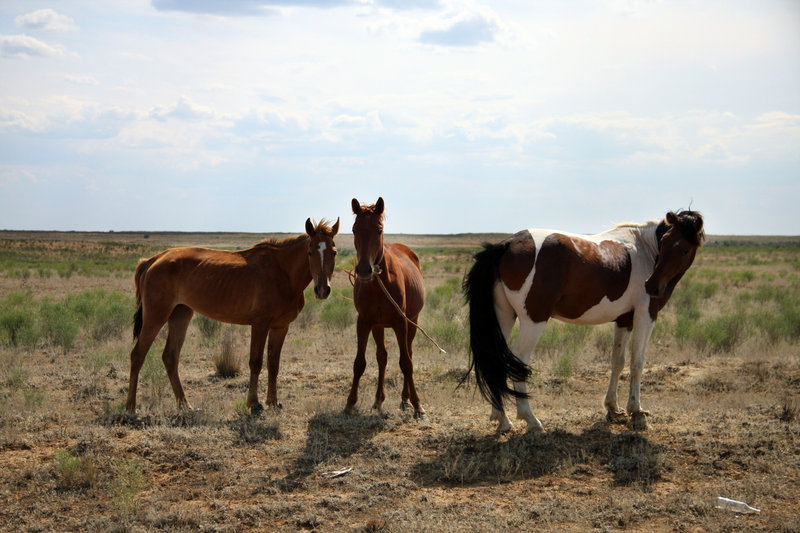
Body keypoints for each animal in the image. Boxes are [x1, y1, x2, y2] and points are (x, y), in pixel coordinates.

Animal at [126, 217, 340, 416]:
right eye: (310, 252)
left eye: (334, 252)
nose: (322, 290)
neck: (282, 273)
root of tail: (154, 259)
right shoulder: (260, 324)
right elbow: (256, 362)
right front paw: (254, 404)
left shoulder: (280, 326)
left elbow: (273, 364)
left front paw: (273, 403)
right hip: (156, 316)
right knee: (137, 355)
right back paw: (130, 407)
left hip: (180, 314)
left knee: (170, 357)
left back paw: (184, 405)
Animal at [346, 197, 428, 418]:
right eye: (354, 230)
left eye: (379, 230)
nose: (364, 270)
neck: (378, 284)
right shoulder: (364, 322)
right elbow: (359, 363)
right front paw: (350, 403)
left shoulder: (401, 322)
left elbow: (406, 363)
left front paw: (417, 404)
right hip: (378, 326)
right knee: (382, 357)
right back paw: (378, 400)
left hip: (413, 322)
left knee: (408, 353)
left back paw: (405, 399)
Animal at [462, 210, 708, 430]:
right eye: (665, 243)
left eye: (683, 248)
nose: (652, 286)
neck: (645, 250)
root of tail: (507, 244)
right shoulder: (645, 315)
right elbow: (637, 363)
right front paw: (636, 412)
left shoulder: (624, 320)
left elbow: (617, 361)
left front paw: (613, 408)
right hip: (533, 321)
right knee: (518, 361)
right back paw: (531, 420)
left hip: (503, 316)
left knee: (496, 360)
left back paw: (503, 420)